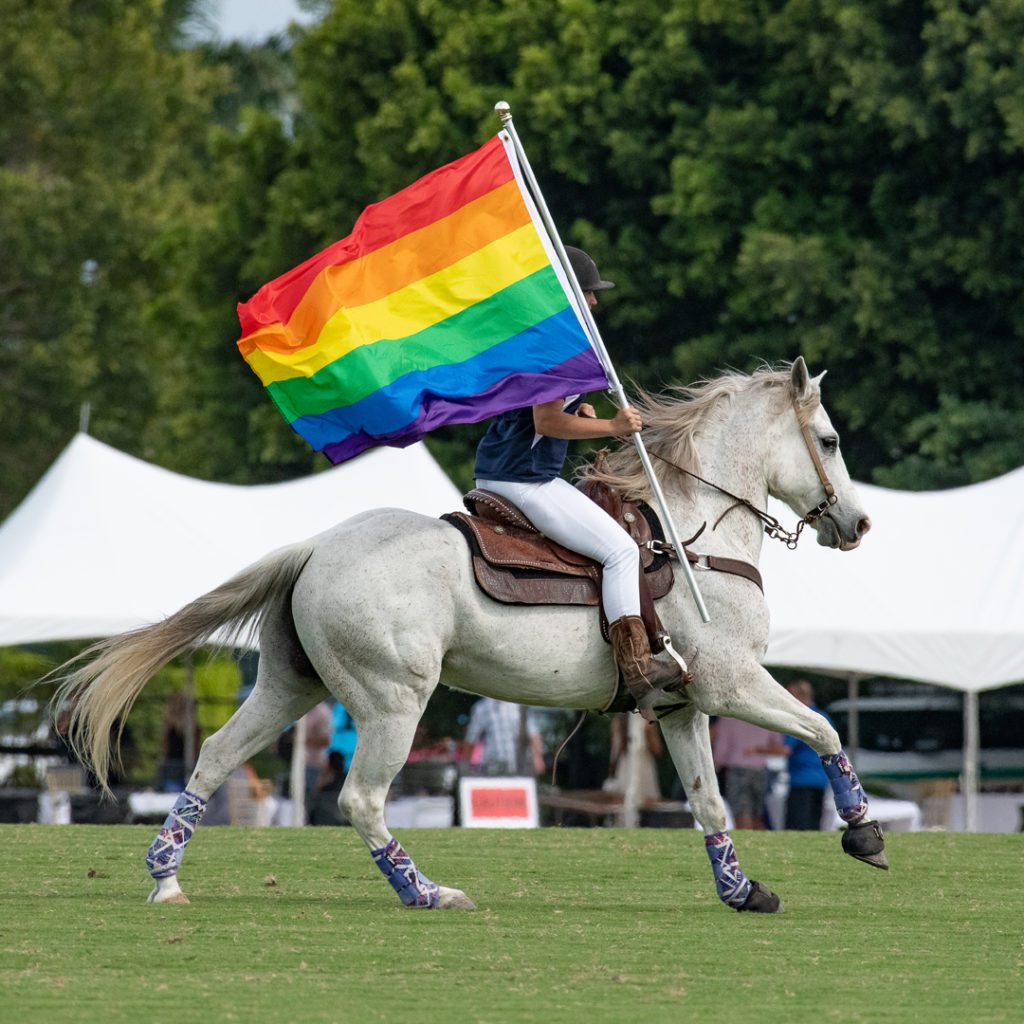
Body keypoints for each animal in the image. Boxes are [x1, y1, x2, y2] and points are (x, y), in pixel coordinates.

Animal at [56, 358, 884, 913]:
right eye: (830, 439)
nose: (858, 525)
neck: (695, 531)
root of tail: (315, 546)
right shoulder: (730, 682)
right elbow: (824, 730)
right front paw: (864, 835)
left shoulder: (681, 706)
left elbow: (710, 805)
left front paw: (742, 891)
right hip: (394, 698)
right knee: (361, 797)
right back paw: (424, 891)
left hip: (292, 684)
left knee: (217, 756)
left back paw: (166, 877)